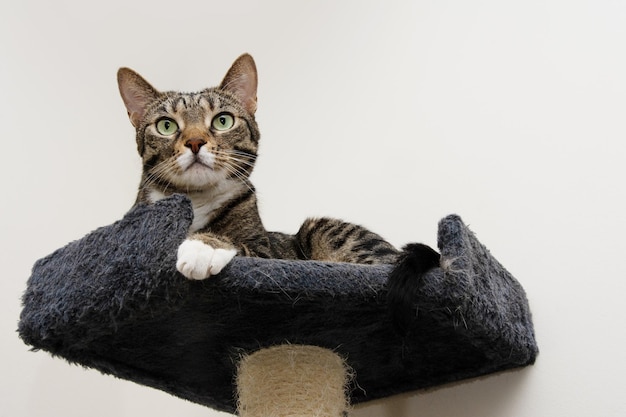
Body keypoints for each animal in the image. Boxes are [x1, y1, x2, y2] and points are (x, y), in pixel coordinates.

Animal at [118, 52, 438, 328]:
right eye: (166, 126)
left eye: (223, 120)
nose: (195, 142)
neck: (196, 201)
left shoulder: (264, 251)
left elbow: (242, 246)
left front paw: (203, 246)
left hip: (326, 231)